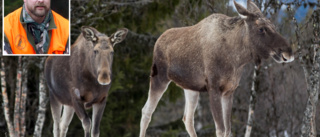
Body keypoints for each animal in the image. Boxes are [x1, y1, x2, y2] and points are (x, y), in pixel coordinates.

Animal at [139, 0, 294, 136]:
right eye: (261, 28)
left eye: (273, 26)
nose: (289, 52)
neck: (237, 59)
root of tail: (158, 41)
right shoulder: (214, 88)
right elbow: (220, 129)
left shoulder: (229, 91)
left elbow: (228, 130)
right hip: (159, 77)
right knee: (146, 111)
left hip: (190, 88)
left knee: (187, 119)